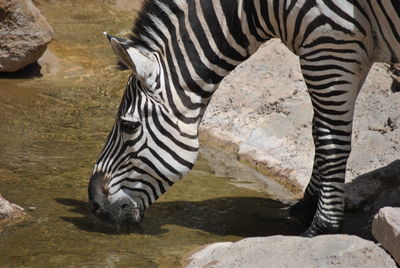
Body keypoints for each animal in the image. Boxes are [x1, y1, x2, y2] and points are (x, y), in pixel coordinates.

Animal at [88, 0, 400, 236]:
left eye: (129, 125)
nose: (94, 204)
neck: (254, 8)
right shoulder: (353, 51)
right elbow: (317, 129)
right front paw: (305, 207)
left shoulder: (330, 43)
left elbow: (329, 139)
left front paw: (322, 228)